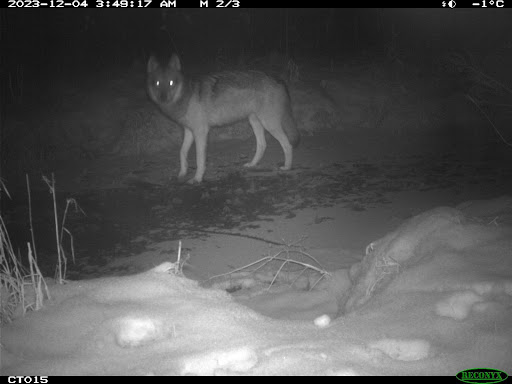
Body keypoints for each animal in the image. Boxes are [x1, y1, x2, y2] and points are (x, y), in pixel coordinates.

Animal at [146, 54, 300, 184]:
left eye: (171, 82)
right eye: (158, 83)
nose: (163, 98)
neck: (185, 94)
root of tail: (279, 79)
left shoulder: (200, 132)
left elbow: (199, 159)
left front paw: (197, 179)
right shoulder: (188, 131)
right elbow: (182, 152)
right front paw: (182, 173)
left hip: (269, 124)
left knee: (287, 144)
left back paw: (287, 167)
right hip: (255, 122)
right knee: (262, 145)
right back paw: (252, 164)